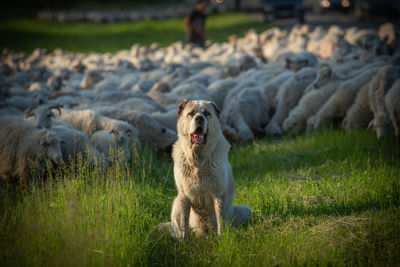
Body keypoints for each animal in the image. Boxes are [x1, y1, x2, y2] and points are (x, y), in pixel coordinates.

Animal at [162, 100, 250, 241]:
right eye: (191, 113)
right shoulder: (183, 197)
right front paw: (183, 242)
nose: (199, 118)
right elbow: (183, 226)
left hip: (245, 210)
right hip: (176, 203)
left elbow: (221, 220)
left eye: (207, 113)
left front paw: (222, 239)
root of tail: (204, 232)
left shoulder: (219, 195)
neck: (198, 160)